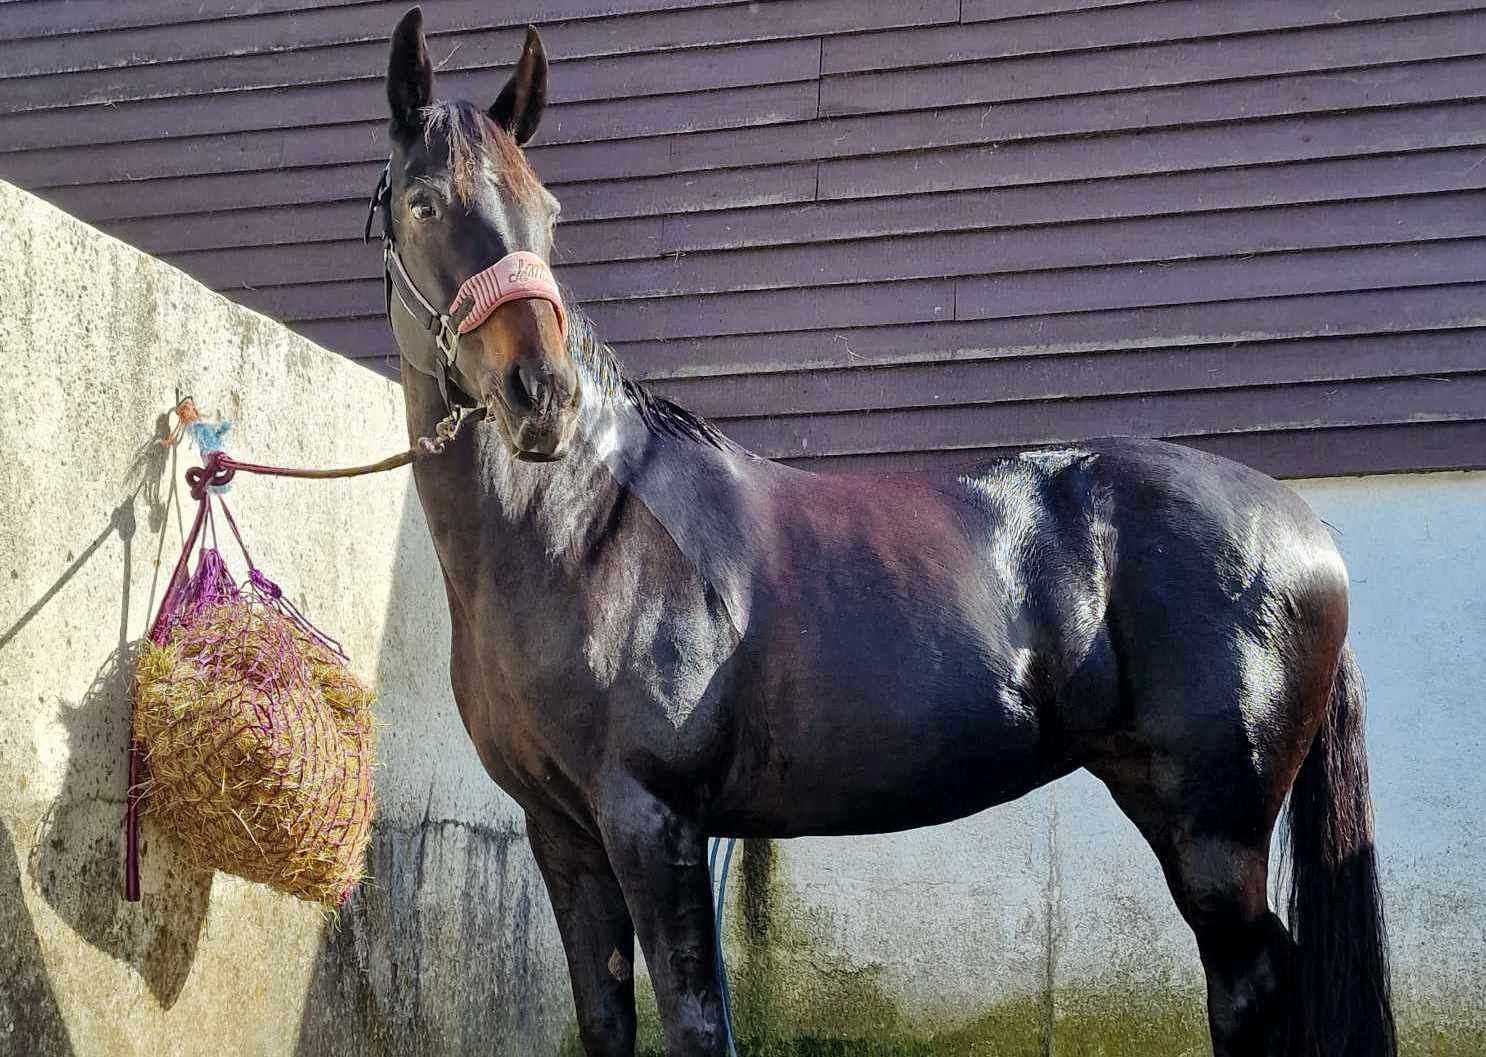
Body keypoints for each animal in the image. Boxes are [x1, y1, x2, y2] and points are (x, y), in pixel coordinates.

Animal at [368, 10, 1390, 1057]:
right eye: (423, 202)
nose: (543, 395)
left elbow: (694, 1022)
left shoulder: (654, 822)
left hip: (1215, 835)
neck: (588, 535)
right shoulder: (563, 835)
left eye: (550, 211)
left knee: (1249, 986)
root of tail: (1306, 530)